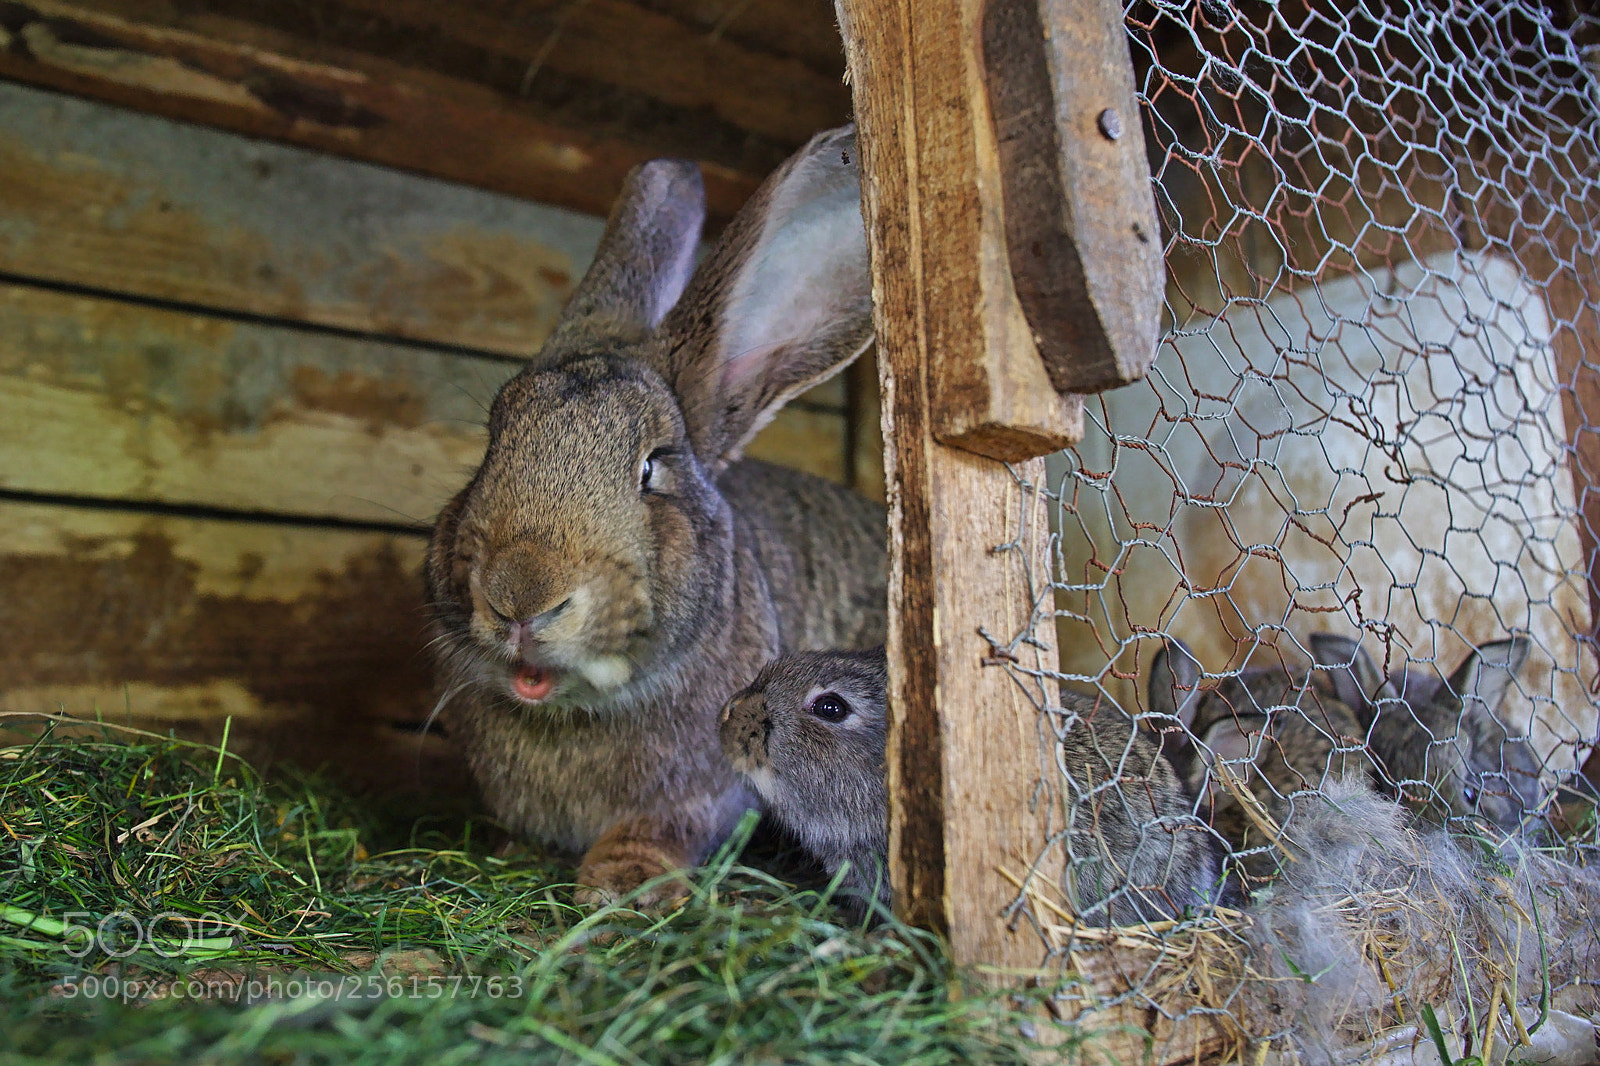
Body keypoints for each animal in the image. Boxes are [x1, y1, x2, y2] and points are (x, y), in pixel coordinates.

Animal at [424, 126, 887, 905]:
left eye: (652, 470)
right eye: (493, 444)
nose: (521, 596)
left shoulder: (703, 791)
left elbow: (659, 831)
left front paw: (623, 887)